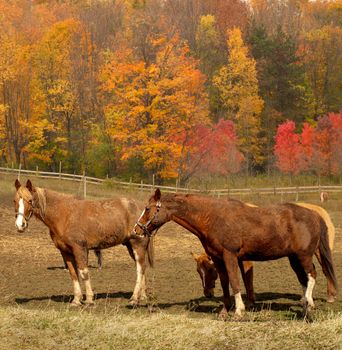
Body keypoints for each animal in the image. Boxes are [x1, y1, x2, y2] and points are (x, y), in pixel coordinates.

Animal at [14, 180, 154, 306]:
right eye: (15, 201)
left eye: (30, 200)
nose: (20, 225)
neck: (65, 215)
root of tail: (143, 209)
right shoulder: (66, 252)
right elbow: (73, 274)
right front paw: (76, 300)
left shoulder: (79, 249)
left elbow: (84, 272)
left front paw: (89, 300)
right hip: (130, 246)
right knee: (142, 268)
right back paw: (142, 296)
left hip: (138, 245)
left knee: (140, 269)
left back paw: (134, 298)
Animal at [192, 202, 336, 304]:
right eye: (199, 271)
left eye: (210, 270)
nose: (207, 294)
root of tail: (318, 213)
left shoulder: (245, 260)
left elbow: (247, 278)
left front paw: (250, 301)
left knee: (324, 270)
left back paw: (329, 296)